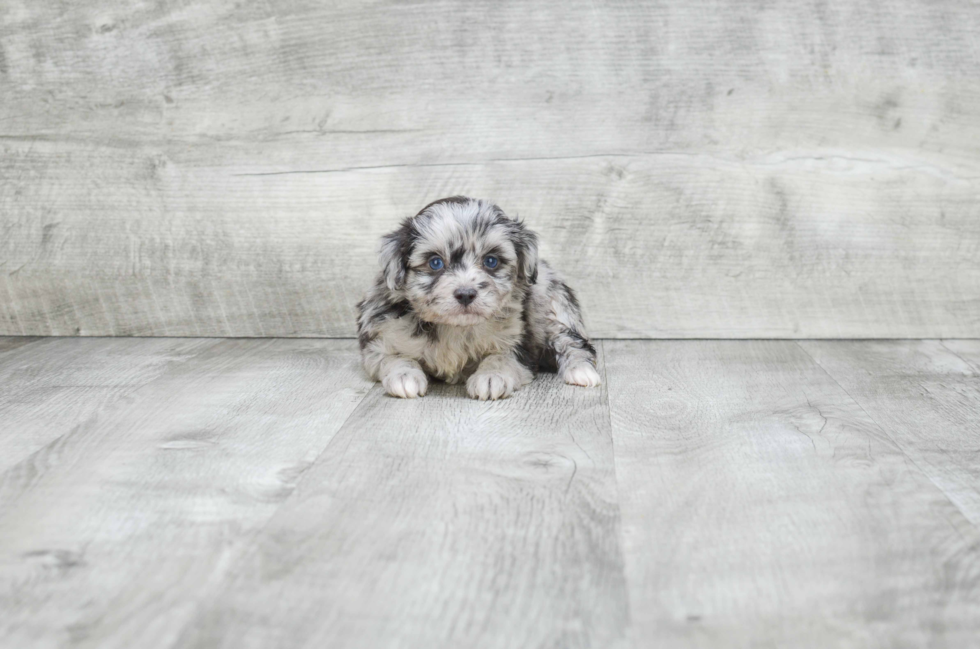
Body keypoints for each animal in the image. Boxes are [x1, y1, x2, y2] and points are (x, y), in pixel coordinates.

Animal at [352, 195, 596, 398]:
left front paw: (491, 377)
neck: (455, 327)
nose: (466, 294)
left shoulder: (519, 343)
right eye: (435, 262)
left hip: (550, 301)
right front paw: (404, 376)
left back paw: (581, 371)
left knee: (571, 341)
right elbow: (393, 357)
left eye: (491, 261)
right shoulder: (380, 339)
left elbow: (500, 357)